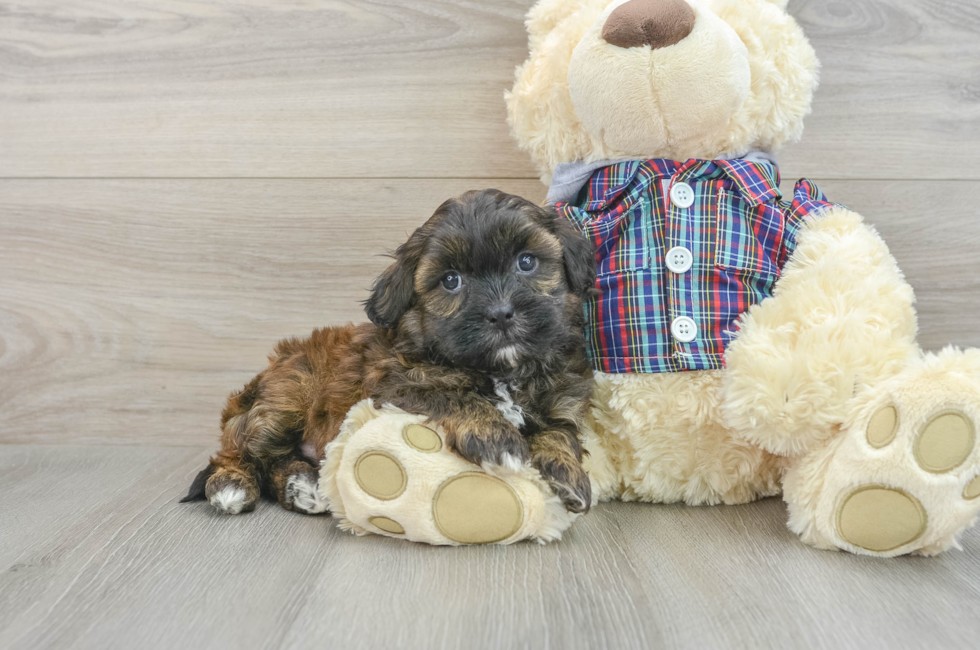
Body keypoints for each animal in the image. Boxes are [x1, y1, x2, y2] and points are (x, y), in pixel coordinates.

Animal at [184, 189, 596, 516]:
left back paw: (301, 486)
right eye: (451, 280)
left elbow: (560, 432)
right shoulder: (395, 386)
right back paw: (232, 485)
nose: (500, 313)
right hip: (285, 399)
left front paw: (567, 473)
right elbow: (456, 396)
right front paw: (497, 437)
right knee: (240, 451)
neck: (501, 370)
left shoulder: (563, 401)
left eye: (527, 261)